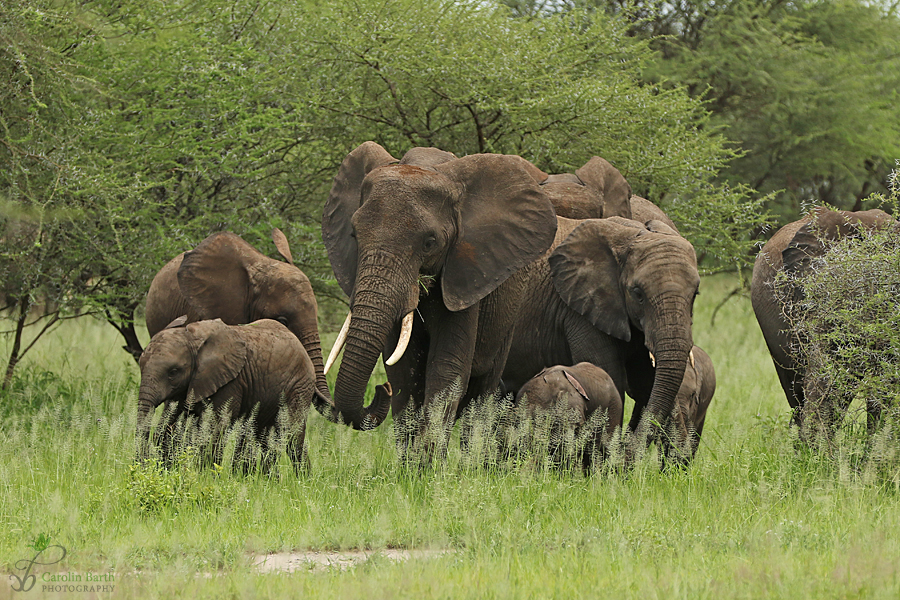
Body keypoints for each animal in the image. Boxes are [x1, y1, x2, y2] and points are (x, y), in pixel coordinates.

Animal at [137, 316, 338, 472]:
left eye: (173, 372)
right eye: (140, 364)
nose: (143, 465)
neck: (193, 337)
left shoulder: (231, 381)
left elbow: (216, 428)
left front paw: (206, 476)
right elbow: (168, 426)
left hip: (299, 385)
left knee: (291, 435)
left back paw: (301, 481)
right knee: (260, 434)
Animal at [320, 142, 560, 454]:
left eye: (430, 243)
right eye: (354, 235)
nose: (380, 389)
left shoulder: (465, 273)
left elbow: (447, 367)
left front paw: (426, 461)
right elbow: (403, 371)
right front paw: (411, 461)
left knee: (481, 392)